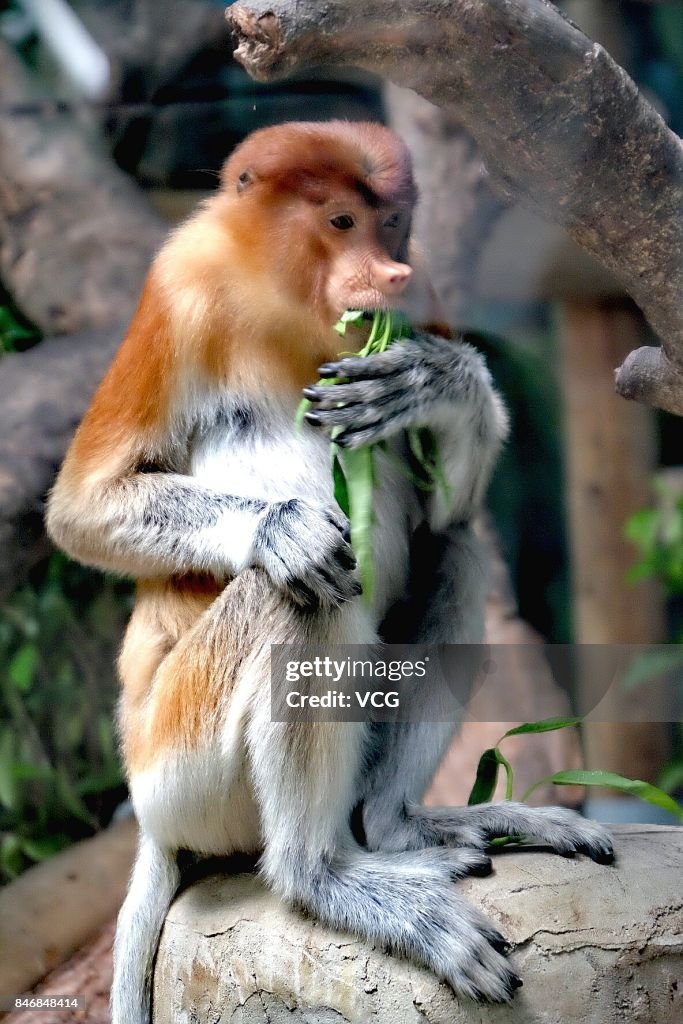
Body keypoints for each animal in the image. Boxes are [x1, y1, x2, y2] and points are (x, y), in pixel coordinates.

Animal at [46, 121, 613, 1022]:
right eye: (341, 221)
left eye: (393, 226)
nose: (388, 274)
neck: (282, 306)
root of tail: (152, 823)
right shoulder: (179, 290)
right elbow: (82, 505)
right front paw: (283, 528)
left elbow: (450, 508)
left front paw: (432, 380)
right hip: (178, 769)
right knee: (302, 598)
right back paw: (326, 878)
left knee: (455, 553)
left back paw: (404, 829)